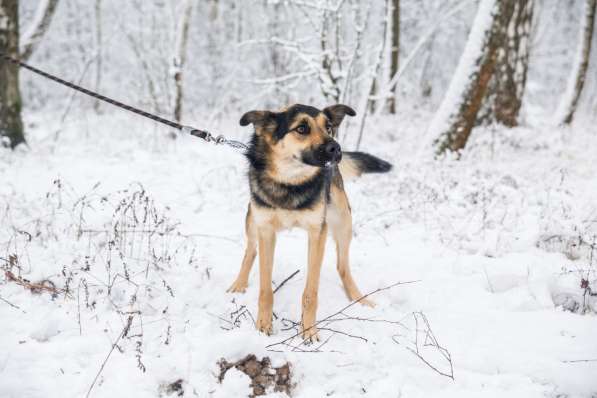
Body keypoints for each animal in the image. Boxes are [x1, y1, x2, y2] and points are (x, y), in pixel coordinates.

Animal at [227, 104, 392, 340]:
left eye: (329, 127)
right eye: (302, 128)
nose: (336, 148)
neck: (290, 182)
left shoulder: (317, 232)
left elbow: (310, 293)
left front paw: (309, 331)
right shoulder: (266, 230)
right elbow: (265, 289)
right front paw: (263, 326)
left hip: (343, 221)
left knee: (343, 266)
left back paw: (359, 298)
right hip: (252, 220)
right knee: (250, 251)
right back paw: (239, 284)